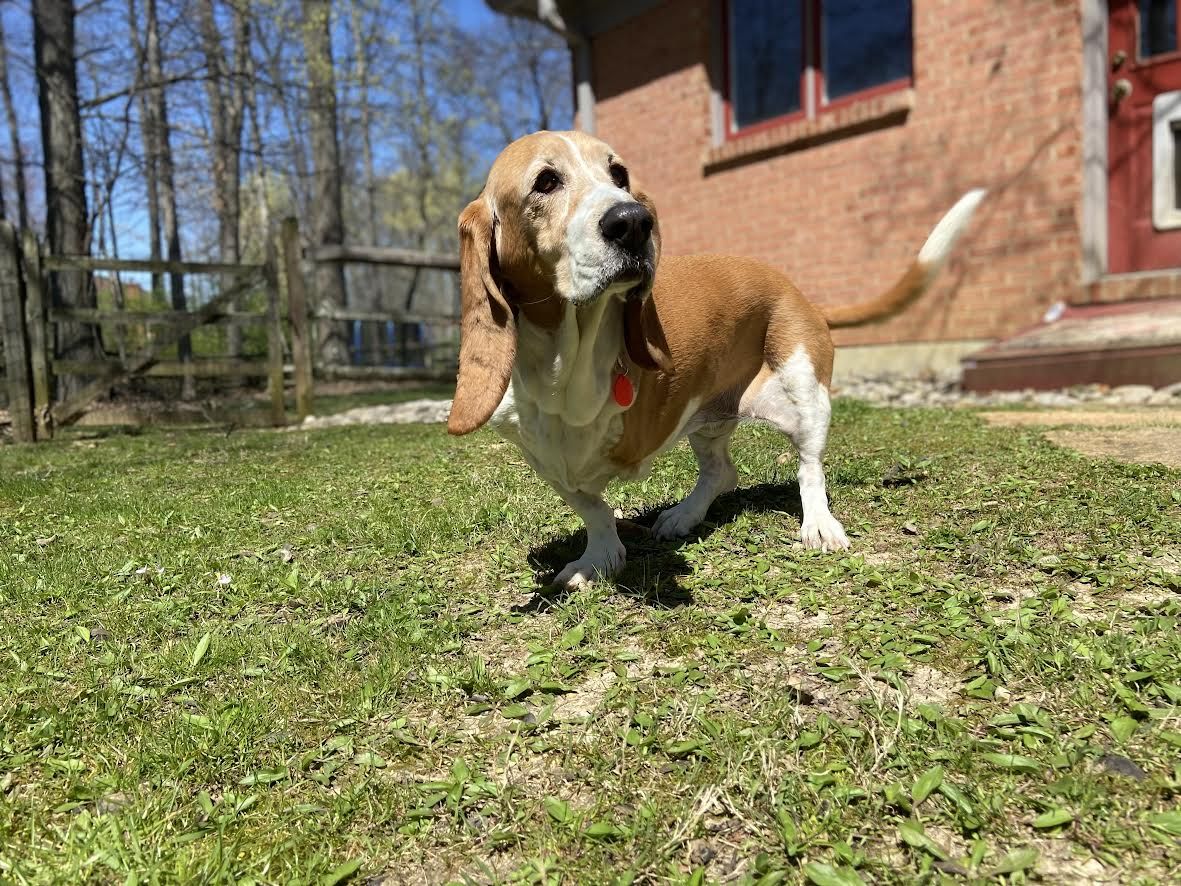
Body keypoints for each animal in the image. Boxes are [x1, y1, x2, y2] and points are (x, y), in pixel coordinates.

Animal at [446, 131, 982, 590]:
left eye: (619, 174)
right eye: (546, 182)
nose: (633, 221)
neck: (569, 367)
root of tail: (801, 294)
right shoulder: (548, 463)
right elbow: (593, 509)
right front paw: (598, 559)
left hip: (805, 394)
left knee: (809, 467)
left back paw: (819, 524)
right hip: (706, 420)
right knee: (722, 472)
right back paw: (684, 514)